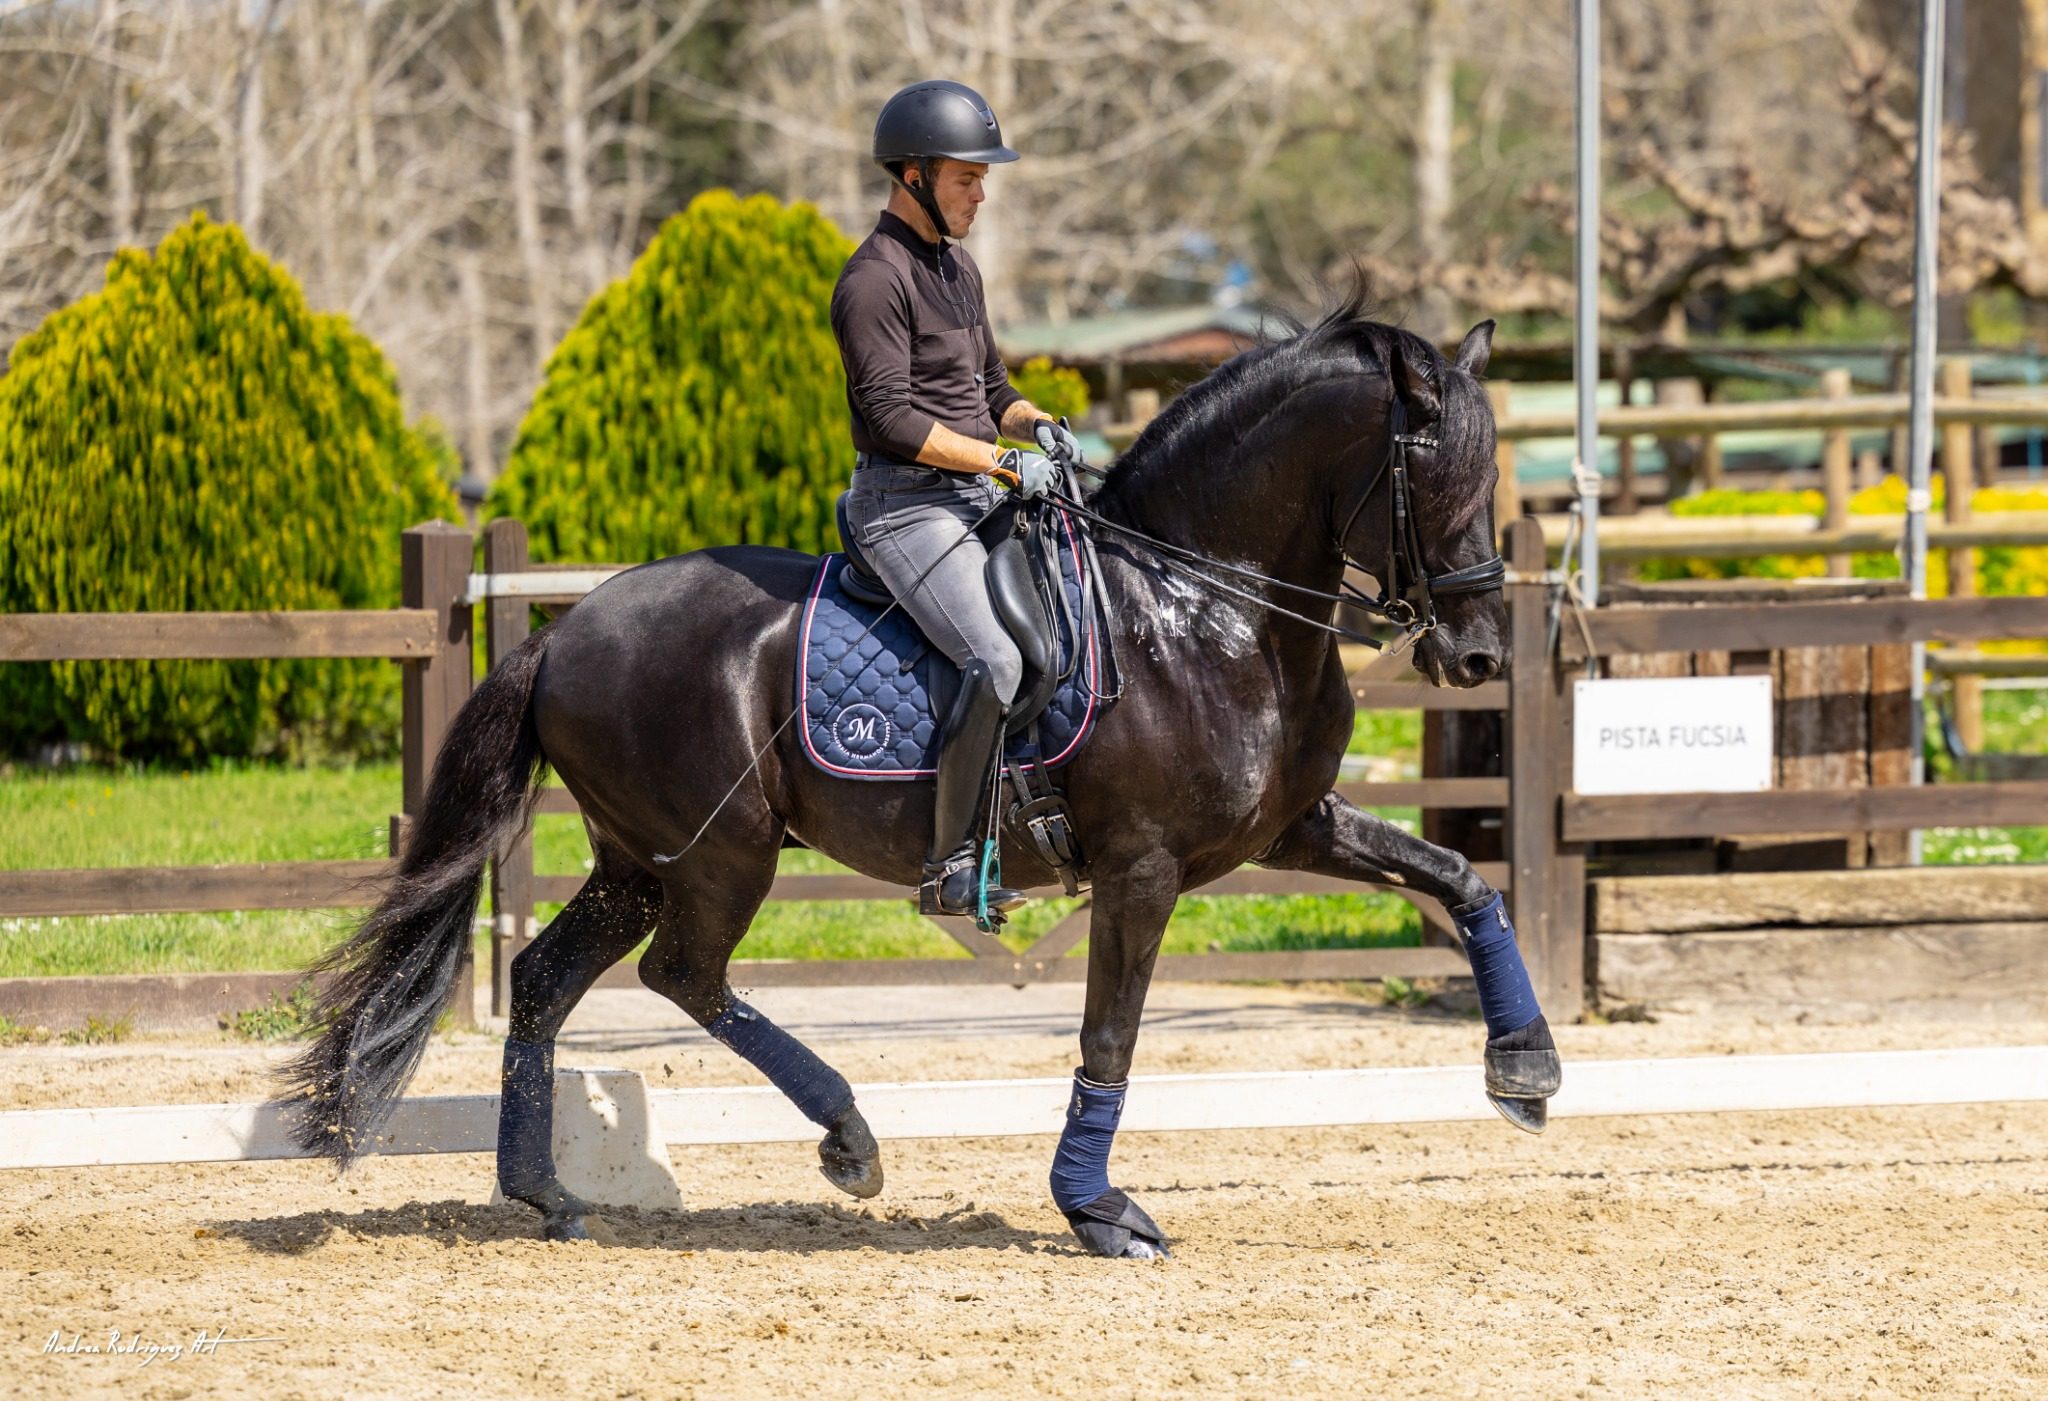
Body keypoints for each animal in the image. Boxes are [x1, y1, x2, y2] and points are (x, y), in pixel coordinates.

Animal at [273, 293, 1562, 1258]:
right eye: (1434, 475)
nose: (1477, 658)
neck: (1202, 607)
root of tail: (562, 632)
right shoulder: (1141, 871)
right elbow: (1109, 1038)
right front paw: (1099, 1213)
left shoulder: (1291, 828)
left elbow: (1459, 879)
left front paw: (1525, 1070)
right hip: (720, 852)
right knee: (683, 974)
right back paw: (846, 1138)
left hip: (638, 859)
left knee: (545, 982)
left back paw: (543, 1194)